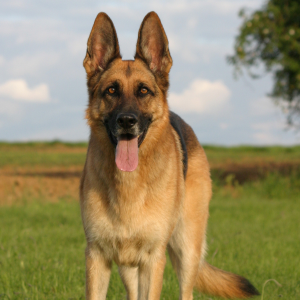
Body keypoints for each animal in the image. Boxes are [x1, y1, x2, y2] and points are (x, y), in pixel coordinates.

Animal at [80, 11, 260, 300]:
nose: (127, 121)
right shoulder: (97, 257)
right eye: (111, 90)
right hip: (128, 266)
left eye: (143, 91)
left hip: (186, 251)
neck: (128, 186)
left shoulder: (154, 260)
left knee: (187, 290)